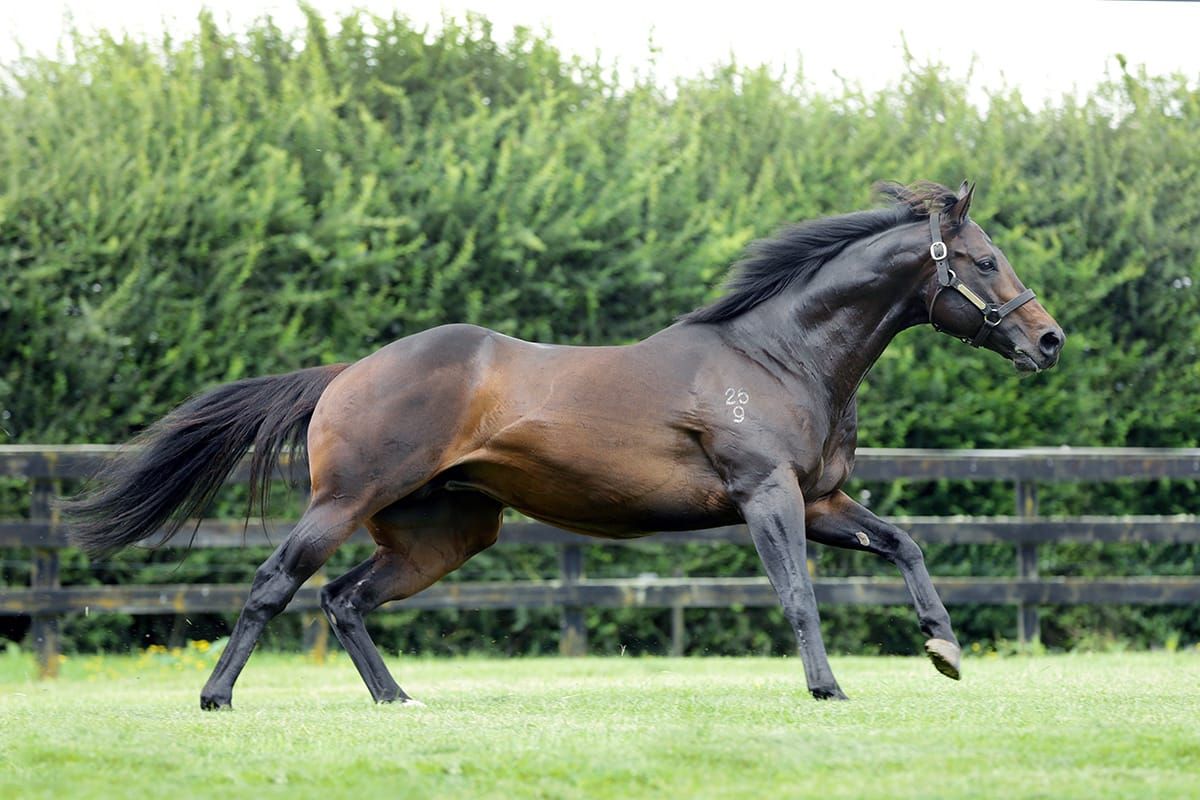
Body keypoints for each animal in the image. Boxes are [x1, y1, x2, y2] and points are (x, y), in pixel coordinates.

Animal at [65, 181, 1064, 708]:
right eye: (983, 262)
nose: (1048, 341)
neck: (779, 353)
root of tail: (347, 372)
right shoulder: (768, 498)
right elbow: (798, 598)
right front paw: (829, 689)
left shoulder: (821, 501)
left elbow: (907, 544)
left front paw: (944, 648)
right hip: (344, 503)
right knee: (277, 584)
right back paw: (217, 697)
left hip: (444, 534)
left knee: (345, 600)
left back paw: (397, 700)